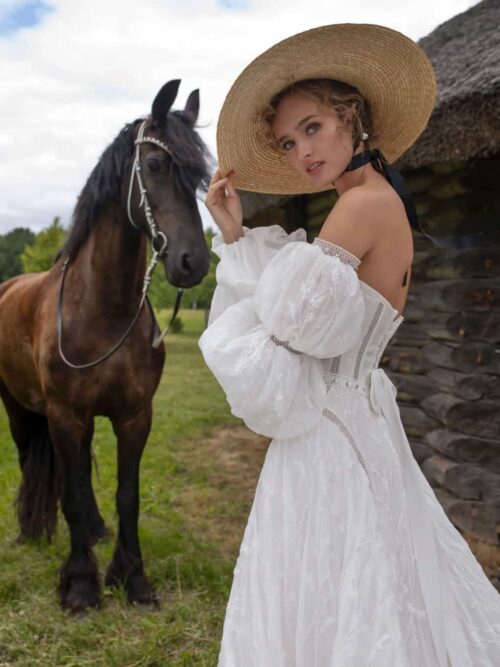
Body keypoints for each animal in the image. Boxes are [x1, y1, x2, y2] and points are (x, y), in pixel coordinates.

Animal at [0, 79, 211, 616]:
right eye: (155, 165)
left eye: (200, 177)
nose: (194, 263)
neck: (102, 310)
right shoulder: (64, 415)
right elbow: (72, 492)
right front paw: (80, 586)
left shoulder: (134, 415)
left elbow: (126, 494)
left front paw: (132, 578)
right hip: (18, 408)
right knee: (32, 461)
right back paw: (33, 530)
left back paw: (94, 531)